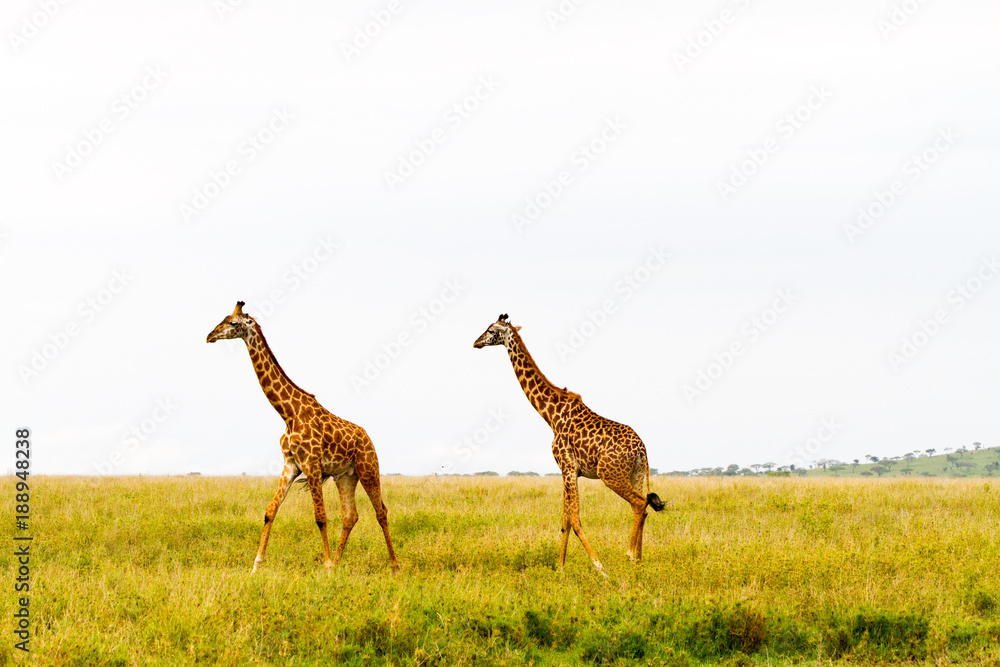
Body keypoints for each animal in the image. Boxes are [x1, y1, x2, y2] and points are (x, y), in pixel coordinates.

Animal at [207, 301, 399, 573]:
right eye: (222, 318)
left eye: (233, 323)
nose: (209, 336)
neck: (288, 413)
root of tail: (367, 437)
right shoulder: (290, 464)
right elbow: (270, 511)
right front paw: (256, 565)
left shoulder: (311, 464)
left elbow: (320, 517)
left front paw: (325, 565)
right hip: (346, 476)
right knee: (350, 516)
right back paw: (339, 562)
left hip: (368, 467)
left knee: (381, 511)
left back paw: (394, 566)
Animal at [473, 313, 664, 575]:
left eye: (491, 330)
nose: (476, 342)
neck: (550, 415)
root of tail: (642, 449)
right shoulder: (568, 470)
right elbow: (565, 520)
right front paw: (561, 568)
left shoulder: (568, 466)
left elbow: (574, 519)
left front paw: (599, 567)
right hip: (634, 474)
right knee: (644, 506)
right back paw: (639, 561)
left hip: (610, 474)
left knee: (638, 503)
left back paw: (627, 556)